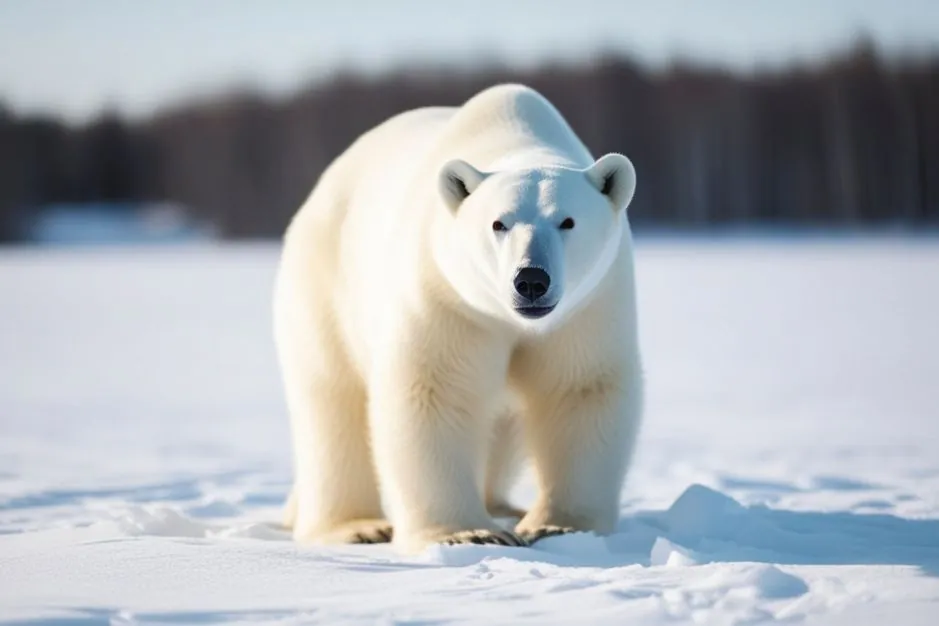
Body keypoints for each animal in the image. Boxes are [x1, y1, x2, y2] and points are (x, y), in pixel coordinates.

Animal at [273, 83, 643, 554]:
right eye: (499, 223)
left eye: (568, 221)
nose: (531, 280)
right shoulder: (447, 300)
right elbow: (435, 391)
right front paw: (467, 533)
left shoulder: (587, 309)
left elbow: (578, 389)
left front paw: (556, 526)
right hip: (325, 290)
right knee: (331, 402)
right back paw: (356, 526)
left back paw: (505, 506)